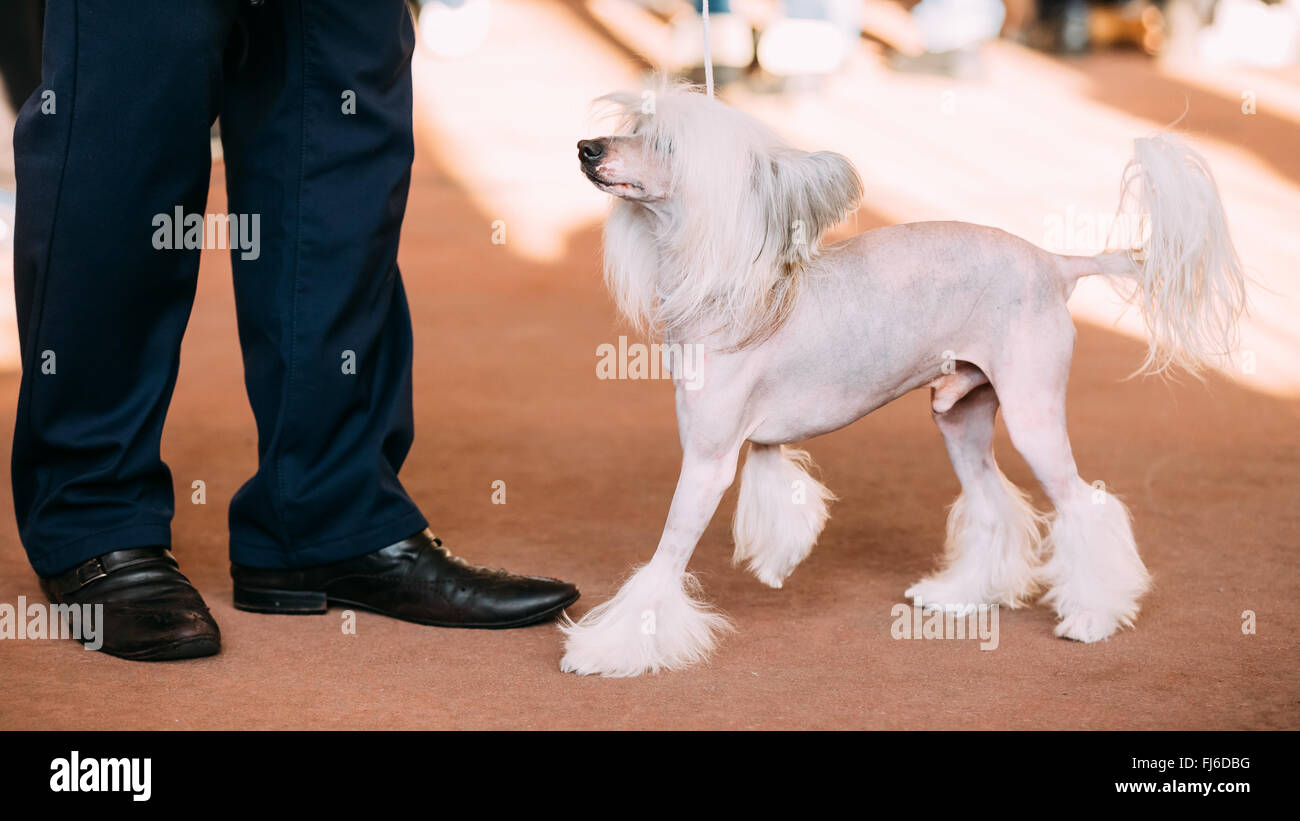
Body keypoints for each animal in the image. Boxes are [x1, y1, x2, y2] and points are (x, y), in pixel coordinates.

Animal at [561, 86, 1248, 675]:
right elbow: (778, 498)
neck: (728, 289)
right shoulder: (762, 443)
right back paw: (964, 594)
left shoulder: (707, 463)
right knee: (992, 505)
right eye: (633, 126)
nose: (587, 148)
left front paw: (607, 650)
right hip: (960, 416)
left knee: (1084, 507)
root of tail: (1055, 263)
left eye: (664, 144)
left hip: (1033, 417)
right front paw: (778, 565)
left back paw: (1093, 616)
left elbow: (664, 561)